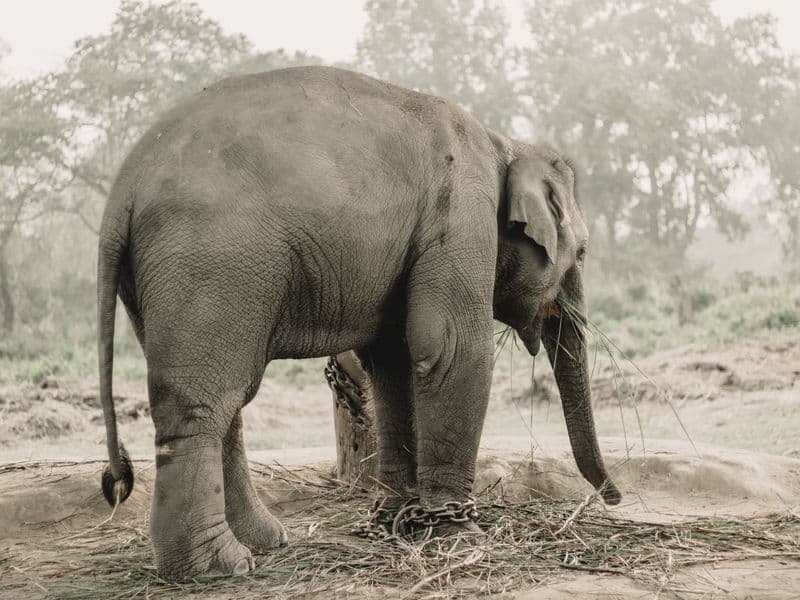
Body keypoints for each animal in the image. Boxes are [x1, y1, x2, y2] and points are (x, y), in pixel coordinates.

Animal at [97, 66, 621, 581]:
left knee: (225, 402)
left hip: (163, 282)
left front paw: (396, 522)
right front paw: (460, 536)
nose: (613, 498)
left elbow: (393, 360)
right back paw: (217, 567)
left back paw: (263, 542)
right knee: (201, 403)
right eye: (582, 253)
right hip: (212, 261)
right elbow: (451, 349)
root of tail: (123, 188)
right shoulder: (461, 213)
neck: (505, 143)